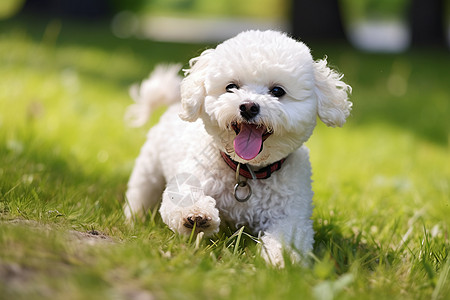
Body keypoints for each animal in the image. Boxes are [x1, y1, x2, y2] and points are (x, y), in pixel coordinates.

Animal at [124, 29, 352, 266]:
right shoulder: (190, 178)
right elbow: (183, 198)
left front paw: (281, 261)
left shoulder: (291, 214)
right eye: (231, 87)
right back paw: (134, 220)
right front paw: (196, 216)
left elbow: (288, 237)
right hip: (149, 170)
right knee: (140, 194)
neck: (246, 170)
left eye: (277, 91)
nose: (249, 106)